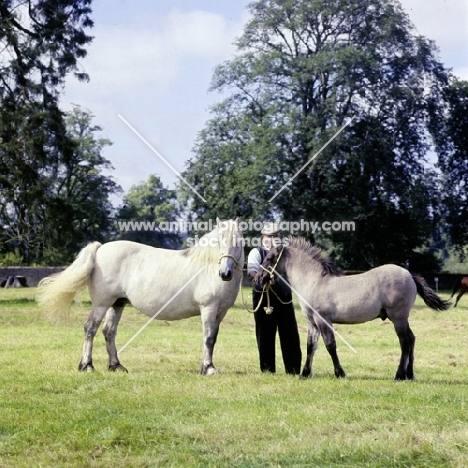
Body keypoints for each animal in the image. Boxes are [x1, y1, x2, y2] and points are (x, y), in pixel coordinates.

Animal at [38, 218, 243, 374]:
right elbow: (207, 338)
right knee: (90, 329)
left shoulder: (220, 313)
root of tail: (100, 249)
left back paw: (116, 366)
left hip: (117, 303)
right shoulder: (208, 308)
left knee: (109, 331)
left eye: (238, 242)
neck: (208, 266)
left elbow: (213, 339)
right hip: (102, 303)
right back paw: (87, 366)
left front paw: (208, 366)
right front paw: (208, 368)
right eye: (218, 242)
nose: (225, 273)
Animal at [254, 238, 452, 380]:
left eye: (270, 258)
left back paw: (399, 375)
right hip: (402, 319)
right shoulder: (313, 323)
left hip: (398, 318)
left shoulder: (323, 320)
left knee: (404, 342)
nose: (258, 278)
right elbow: (311, 346)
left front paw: (340, 373)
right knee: (411, 339)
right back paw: (409, 375)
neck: (314, 281)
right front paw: (304, 374)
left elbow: (330, 345)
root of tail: (410, 275)